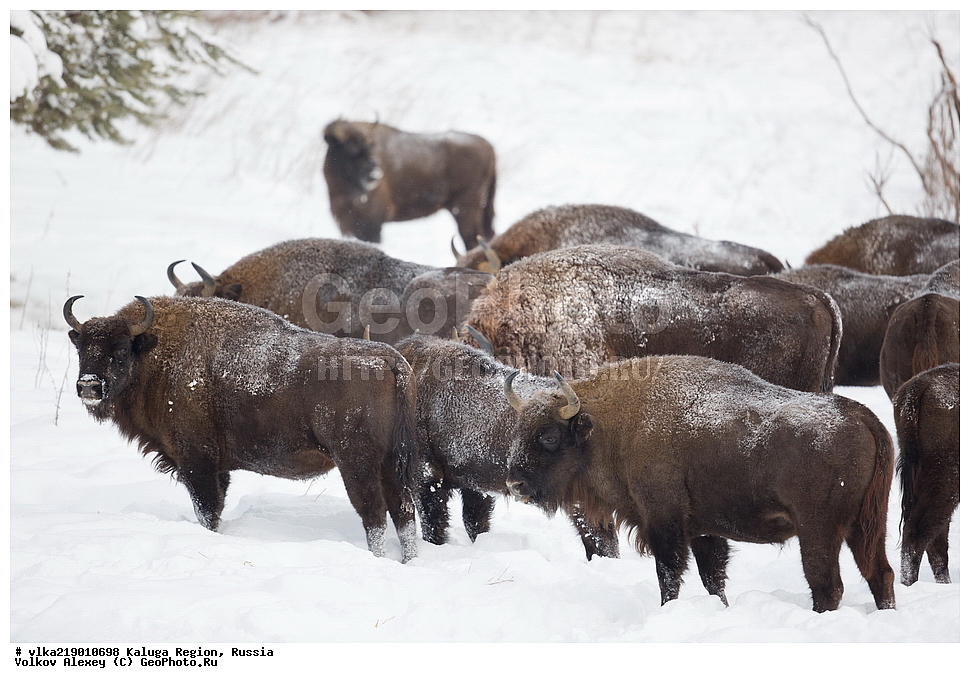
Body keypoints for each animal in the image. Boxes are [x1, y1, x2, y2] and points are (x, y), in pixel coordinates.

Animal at [65, 294, 418, 562]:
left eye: (122, 350)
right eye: (82, 349)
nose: (88, 386)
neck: (159, 355)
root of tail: (390, 360)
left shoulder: (197, 463)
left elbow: (207, 511)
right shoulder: (218, 469)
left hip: (356, 463)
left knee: (374, 514)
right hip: (391, 463)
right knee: (403, 512)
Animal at [323, 119, 497, 250]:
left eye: (371, 146)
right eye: (351, 149)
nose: (374, 173)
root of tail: (487, 145)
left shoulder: (372, 224)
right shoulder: (347, 223)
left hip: (464, 208)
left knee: (472, 239)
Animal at [503, 355, 896, 613]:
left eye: (549, 436)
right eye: (520, 429)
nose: (514, 483)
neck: (612, 425)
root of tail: (863, 417)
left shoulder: (664, 521)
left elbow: (669, 574)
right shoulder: (704, 530)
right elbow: (713, 578)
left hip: (819, 530)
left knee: (826, 584)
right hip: (867, 526)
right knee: (880, 574)